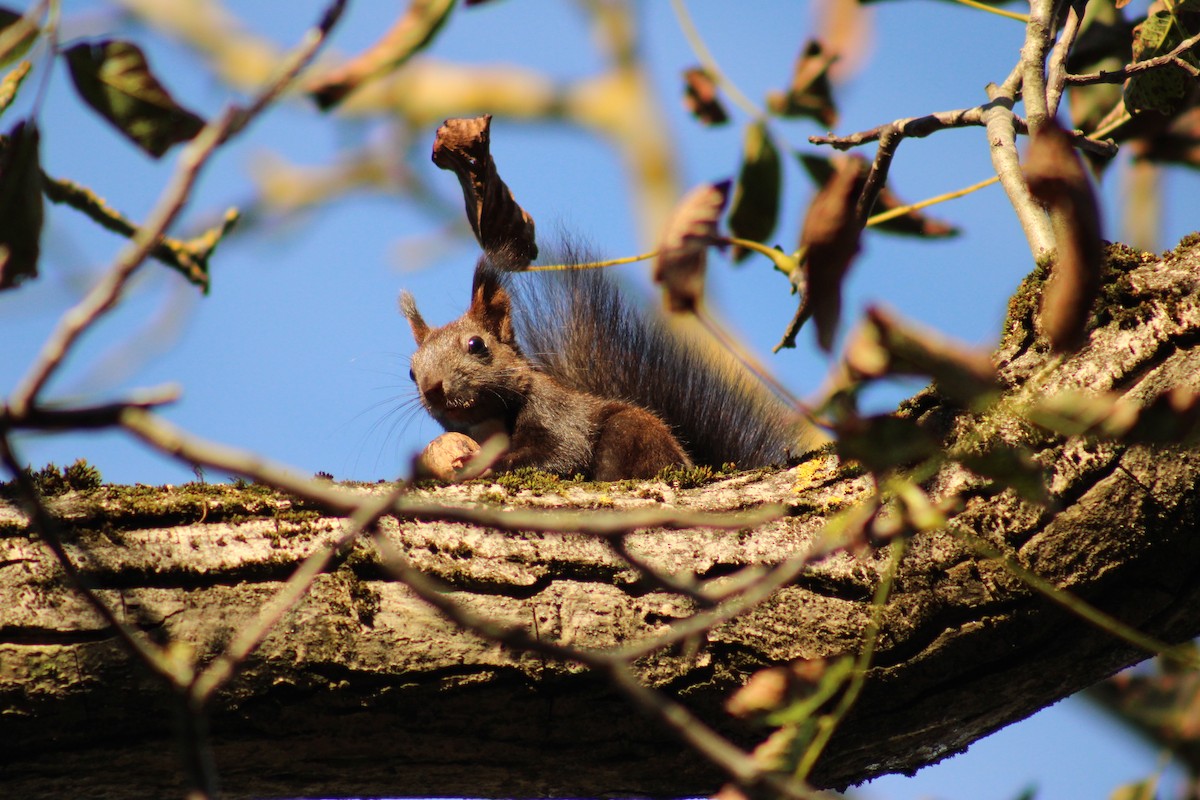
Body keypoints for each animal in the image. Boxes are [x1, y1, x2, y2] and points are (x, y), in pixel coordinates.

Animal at [400, 246, 811, 481]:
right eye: (411, 371)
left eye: (476, 344)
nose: (433, 389)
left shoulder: (556, 414)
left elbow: (562, 452)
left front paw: (480, 465)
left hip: (631, 432)